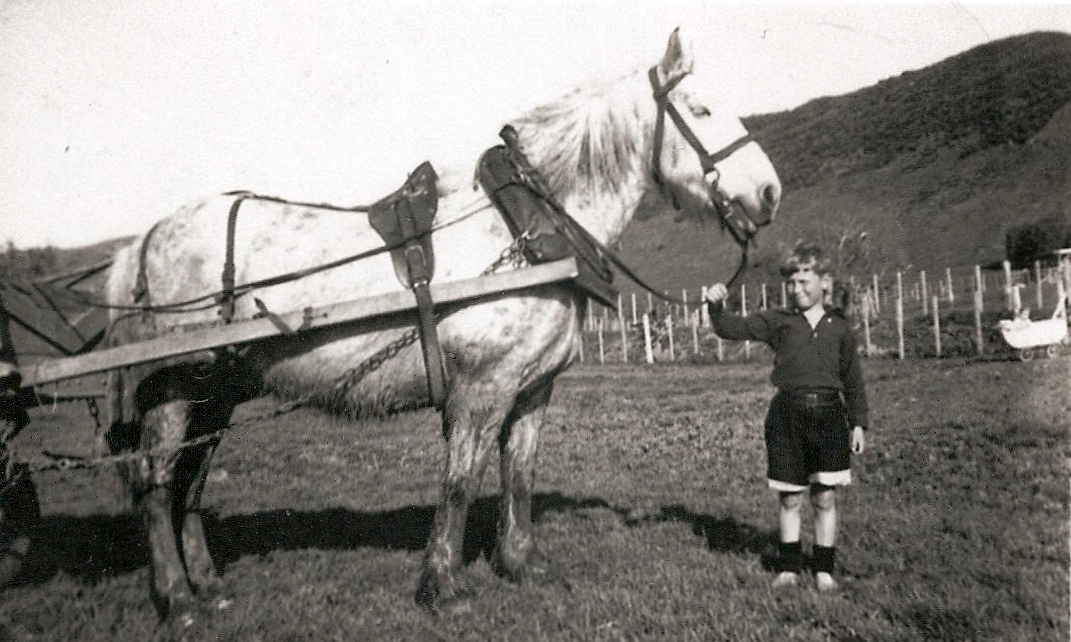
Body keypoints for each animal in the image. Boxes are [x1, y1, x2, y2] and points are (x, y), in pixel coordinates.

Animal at [102, 27, 779, 630]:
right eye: (702, 109)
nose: (770, 193)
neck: (527, 231)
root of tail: (147, 238)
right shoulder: (481, 390)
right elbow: (458, 484)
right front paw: (444, 586)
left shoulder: (533, 389)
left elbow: (519, 476)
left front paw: (518, 564)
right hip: (176, 390)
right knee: (155, 483)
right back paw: (178, 600)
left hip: (216, 394)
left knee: (190, 483)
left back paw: (209, 587)